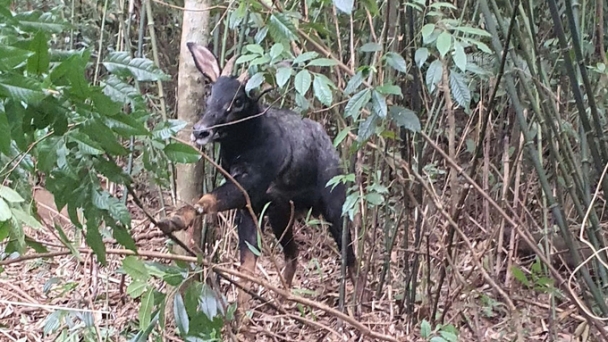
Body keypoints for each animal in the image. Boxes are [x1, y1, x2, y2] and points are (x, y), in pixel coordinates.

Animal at [158, 41, 356, 306]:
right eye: (210, 92)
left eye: (238, 101)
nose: (201, 131)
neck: (245, 146)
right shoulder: (252, 204)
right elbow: (247, 264)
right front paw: (241, 312)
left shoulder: (253, 184)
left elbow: (209, 198)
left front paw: (177, 219)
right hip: (281, 212)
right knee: (293, 253)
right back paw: (282, 298)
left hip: (335, 206)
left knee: (351, 258)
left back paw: (355, 305)